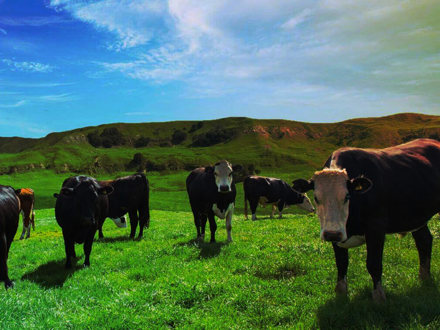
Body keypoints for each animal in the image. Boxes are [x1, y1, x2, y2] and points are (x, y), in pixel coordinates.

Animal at [292, 139, 440, 302]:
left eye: (347, 196)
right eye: (316, 198)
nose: (332, 234)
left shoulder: (376, 228)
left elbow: (373, 264)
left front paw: (379, 296)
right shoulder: (336, 232)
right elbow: (341, 262)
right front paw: (341, 292)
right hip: (416, 216)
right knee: (424, 240)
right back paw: (424, 278)